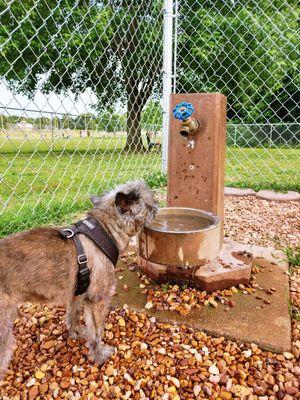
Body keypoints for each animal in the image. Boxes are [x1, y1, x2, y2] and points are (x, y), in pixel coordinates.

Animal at [0, 180, 158, 378]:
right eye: (149, 203)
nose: (157, 208)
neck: (106, 229)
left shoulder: (77, 293)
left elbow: (73, 315)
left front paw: (75, 332)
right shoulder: (97, 300)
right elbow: (97, 332)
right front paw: (99, 355)